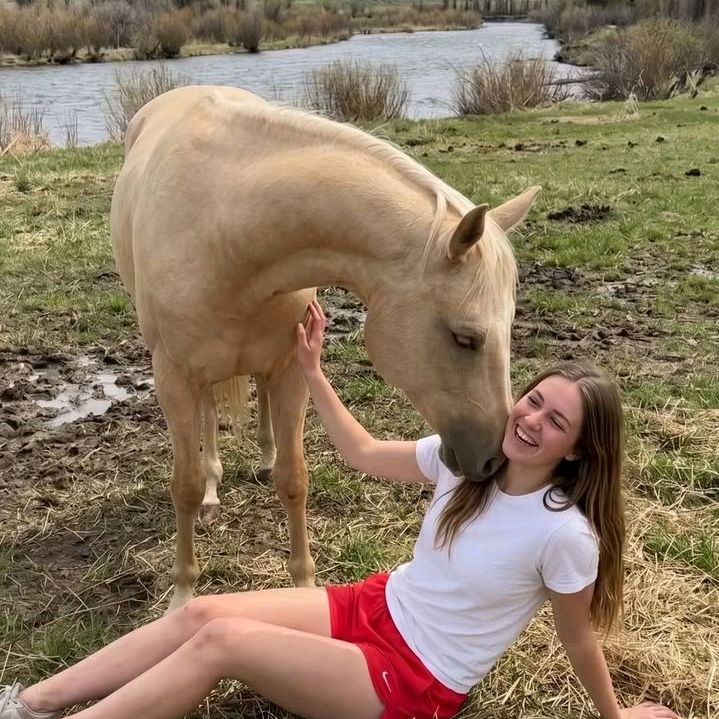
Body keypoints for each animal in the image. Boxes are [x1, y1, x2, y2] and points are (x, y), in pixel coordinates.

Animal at [110, 85, 539, 610]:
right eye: (465, 338)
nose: (494, 459)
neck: (225, 229)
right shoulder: (173, 376)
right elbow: (185, 487)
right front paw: (183, 594)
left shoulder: (291, 367)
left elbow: (294, 479)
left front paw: (304, 586)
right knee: (208, 418)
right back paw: (214, 484)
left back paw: (263, 456)